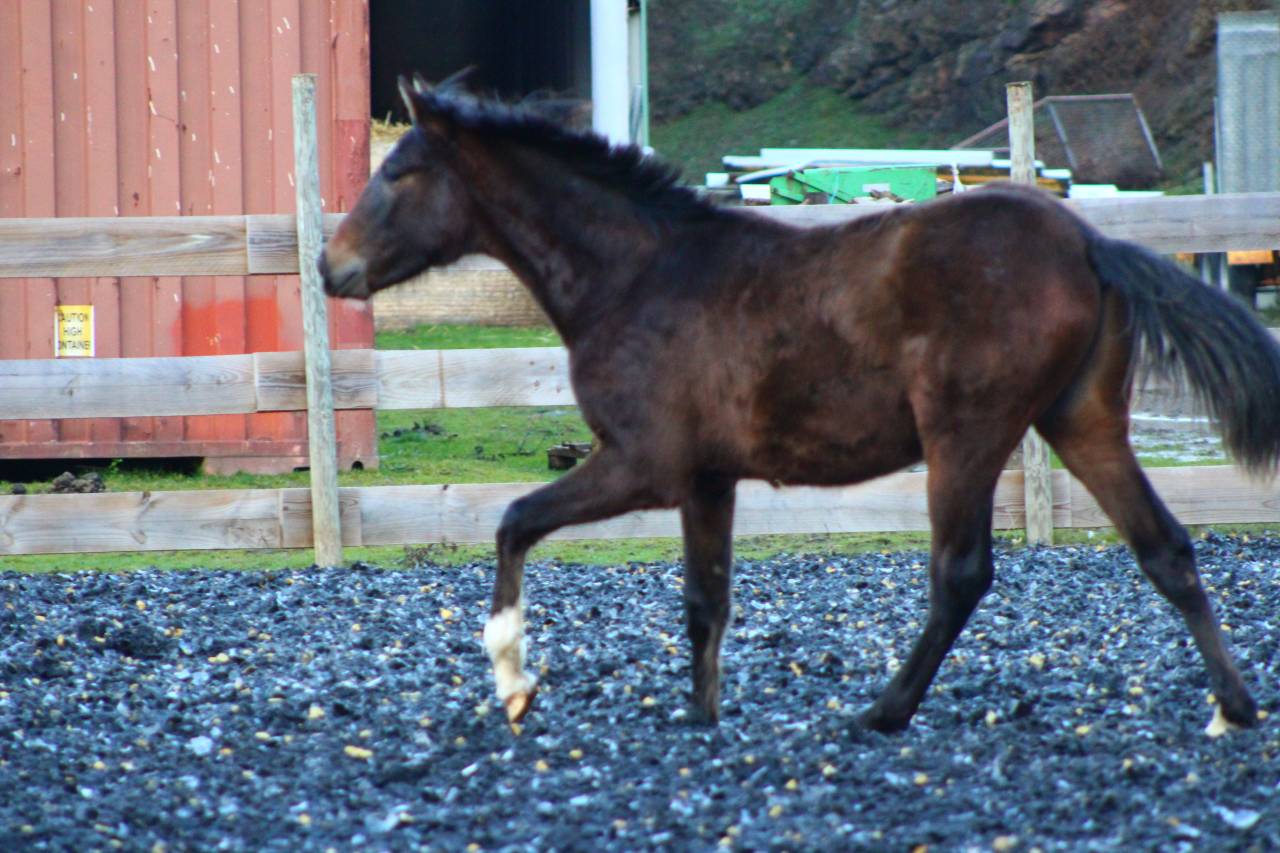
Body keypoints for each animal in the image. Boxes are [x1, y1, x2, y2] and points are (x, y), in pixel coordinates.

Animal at [320, 75, 1280, 736]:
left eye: (401, 172)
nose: (332, 267)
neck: (635, 275)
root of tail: (1087, 241)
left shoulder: (642, 463)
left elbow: (514, 520)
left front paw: (514, 685)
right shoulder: (708, 478)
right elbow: (705, 597)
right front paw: (701, 718)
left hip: (966, 434)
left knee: (961, 572)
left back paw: (882, 712)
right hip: (1080, 420)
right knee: (1166, 549)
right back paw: (1232, 707)